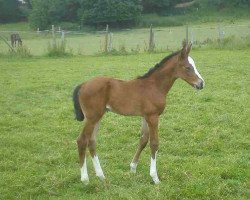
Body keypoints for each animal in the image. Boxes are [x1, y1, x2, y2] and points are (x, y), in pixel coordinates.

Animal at [73, 43, 205, 184]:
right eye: (188, 67)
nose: (201, 83)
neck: (154, 86)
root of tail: (83, 85)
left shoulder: (145, 117)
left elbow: (143, 140)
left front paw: (133, 168)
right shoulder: (153, 117)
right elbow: (154, 143)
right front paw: (155, 177)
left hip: (98, 117)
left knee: (91, 141)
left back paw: (101, 176)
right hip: (92, 117)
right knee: (82, 140)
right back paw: (85, 179)